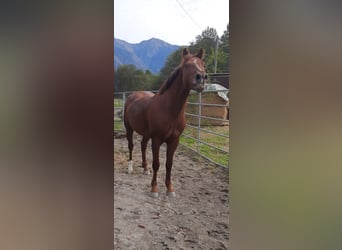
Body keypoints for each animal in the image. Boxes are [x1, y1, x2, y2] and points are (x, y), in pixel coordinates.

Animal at [124, 47, 207, 197]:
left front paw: (170, 189)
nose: (201, 79)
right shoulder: (157, 139)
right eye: (186, 65)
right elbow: (157, 163)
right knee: (131, 146)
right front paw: (154, 189)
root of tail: (132, 96)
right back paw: (130, 168)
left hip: (146, 134)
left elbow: (169, 164)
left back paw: (145, 169)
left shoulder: (174, 140)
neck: (169, 110)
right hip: (129, 129)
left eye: (203, 64)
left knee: (143, 146)